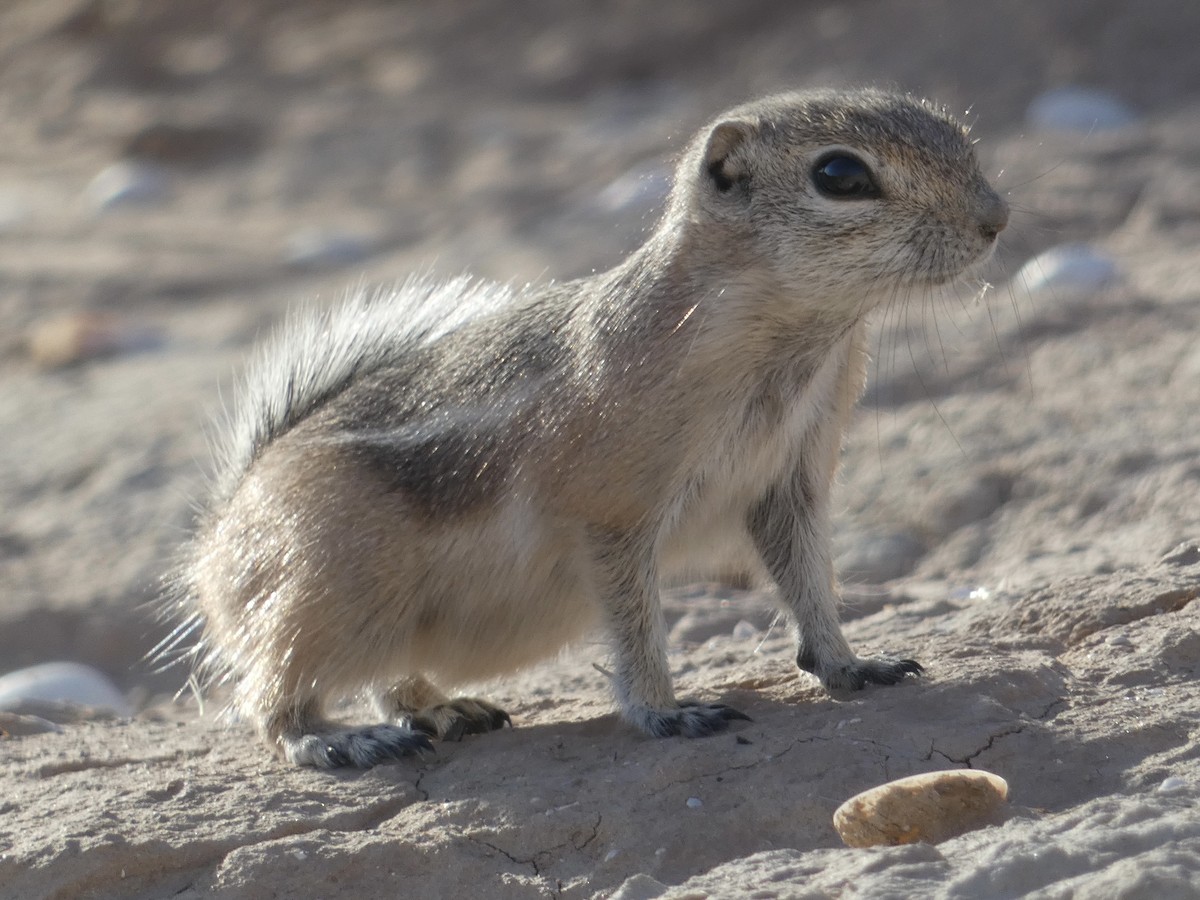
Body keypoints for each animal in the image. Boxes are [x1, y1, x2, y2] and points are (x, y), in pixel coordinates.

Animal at [167, 88, 1008, 767]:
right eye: (840, 176)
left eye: (956, 135)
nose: (996, 219)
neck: (793, 338)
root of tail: (216, 533)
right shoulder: (612, 509)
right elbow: (636, 625)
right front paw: (666, 712)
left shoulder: (789, 481)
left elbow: (809, 581)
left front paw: (848, 664)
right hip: (326, 592)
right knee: (272, 695)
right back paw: (335, 740)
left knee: (380, 678)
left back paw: (440, 709)